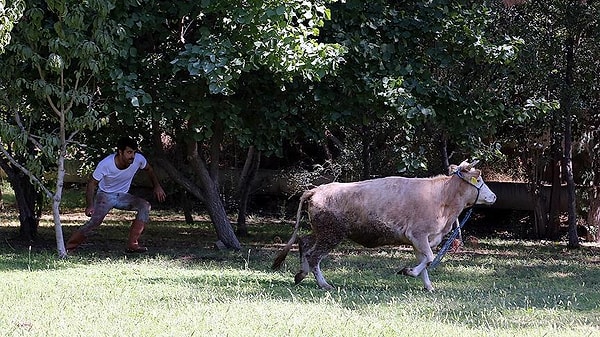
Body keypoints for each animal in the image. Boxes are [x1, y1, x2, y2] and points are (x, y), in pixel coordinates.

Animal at [274, 159, 496, 288]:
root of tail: (317, 189)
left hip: (322, 231)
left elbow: (425, 261)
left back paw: (301, 274)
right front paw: (408, 271)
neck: (443, 197)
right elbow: (430, 259)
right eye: (478, 180)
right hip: (331, 233)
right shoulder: (419, 235)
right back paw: (323, 284)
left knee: (304, 242)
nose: (494, 196)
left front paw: (428, 286)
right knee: (314, 255)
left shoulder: (420, 241)